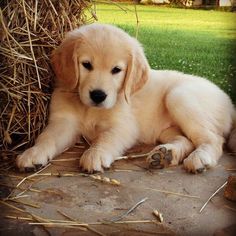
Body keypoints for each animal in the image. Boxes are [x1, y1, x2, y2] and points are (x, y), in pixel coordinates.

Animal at [15, 23, 235, 172]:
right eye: (86, 65)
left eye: (116, 70)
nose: (98, 95)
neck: (90, 109)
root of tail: (230, 103)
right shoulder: (63, 121)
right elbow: (47, 137)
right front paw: (33, 153)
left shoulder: (124, 126)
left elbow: (106, 137)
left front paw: (95, 154)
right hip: (167, 128)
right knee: (186, 139)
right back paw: (164, 155)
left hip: (179, 96)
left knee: (214, 139)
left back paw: (200, 158)